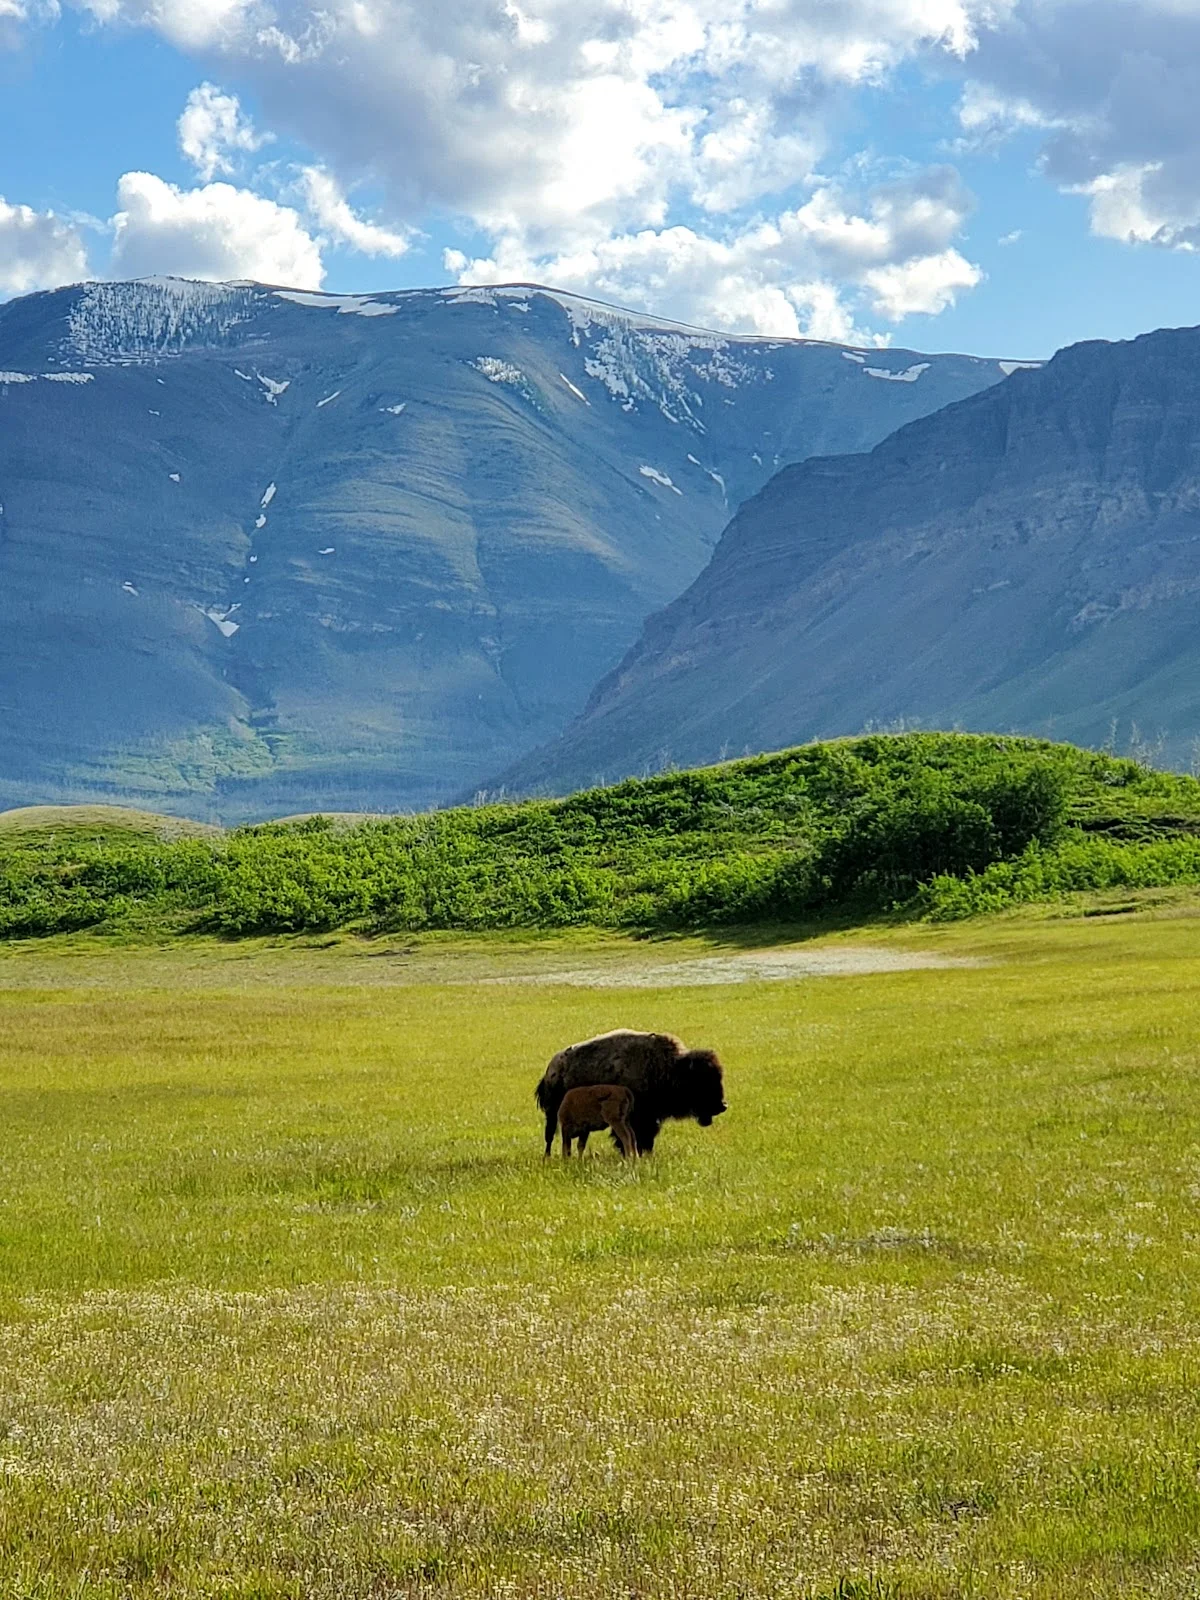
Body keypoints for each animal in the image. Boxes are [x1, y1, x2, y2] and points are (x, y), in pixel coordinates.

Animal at [535, 1029, 727, 1156]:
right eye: (701, 1082)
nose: (722, 1106)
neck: (669, 1068)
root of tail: (550, 1070)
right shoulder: (639, 1119)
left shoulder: (649, 1118)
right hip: (553, 1113)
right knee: (550, 1136)